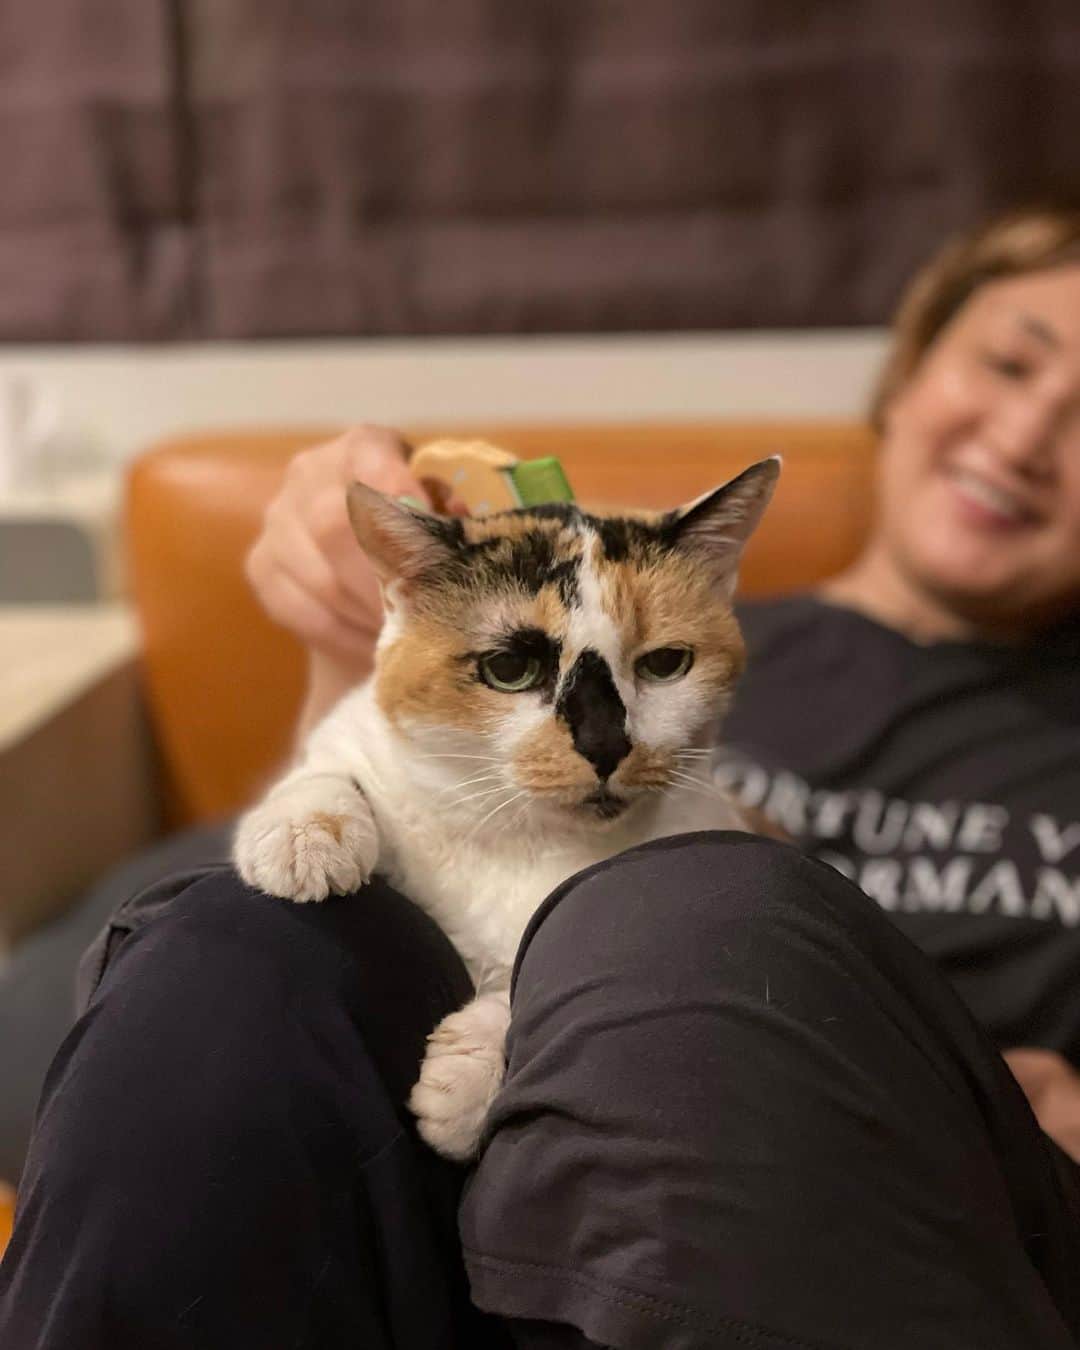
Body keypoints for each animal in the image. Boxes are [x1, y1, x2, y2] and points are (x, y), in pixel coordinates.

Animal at [233, 456, 780, 1160]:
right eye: (509, 668)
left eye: (665, 663)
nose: (605, 744)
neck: (526, 838)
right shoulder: (357, 740)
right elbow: (328, 771)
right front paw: (305, 840)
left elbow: (541, 972)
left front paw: (463, 1085)